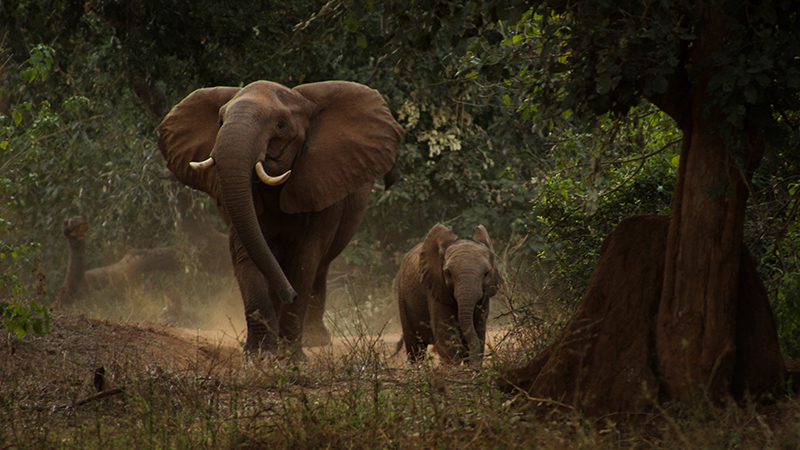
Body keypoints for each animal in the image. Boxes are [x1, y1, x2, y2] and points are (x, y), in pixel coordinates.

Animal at [156, 79, 404, 356]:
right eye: (220, 121)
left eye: (281, 125)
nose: (291, 295)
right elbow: (248, 252)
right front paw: (260, 354)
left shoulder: (322, 182)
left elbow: (305, 259)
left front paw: (290, 357)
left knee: (320, 266)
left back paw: (314, 340)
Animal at [398, 223, 504, 368]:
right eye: (448, 273)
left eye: (486, 273)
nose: (473, 367)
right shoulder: (435, 286)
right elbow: (448, 338)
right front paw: (452, 369)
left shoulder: (485, 296)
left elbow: (479, 332)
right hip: (402, 295)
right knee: (415, 347)